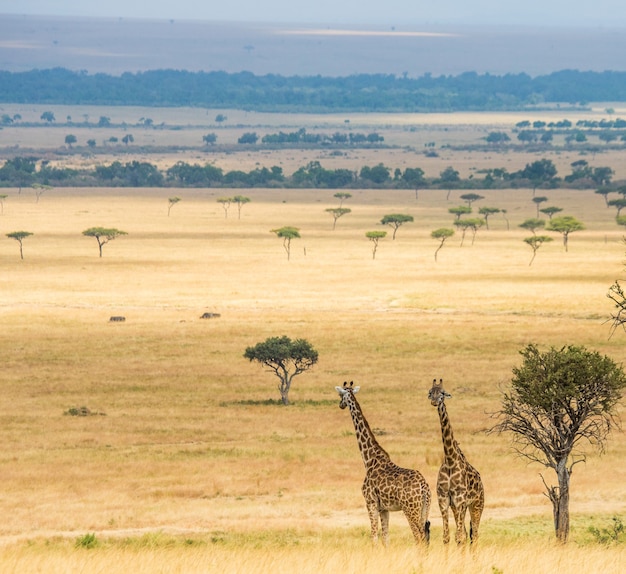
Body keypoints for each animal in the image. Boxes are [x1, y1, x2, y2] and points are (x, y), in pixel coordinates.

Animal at [336, 382, 428, 548]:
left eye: (340, 394)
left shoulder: (371, 502)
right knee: (424, 536)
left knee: (418, 537)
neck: (369, 459)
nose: (340, 405)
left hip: (410, 509)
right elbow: (386, 538)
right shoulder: (384, 508)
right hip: (424, 507)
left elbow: (373, 537)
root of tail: (424, 487)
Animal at [426, 380, 486, 548]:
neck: (450, 460)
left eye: (442, 393)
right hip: (458, 506)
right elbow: (447, 537)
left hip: (477, 505)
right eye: (430, 392)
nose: (434, 402)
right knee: (465, 533)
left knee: (474, 535)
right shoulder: (444, 499)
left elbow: (459, 536)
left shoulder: (460, 499)